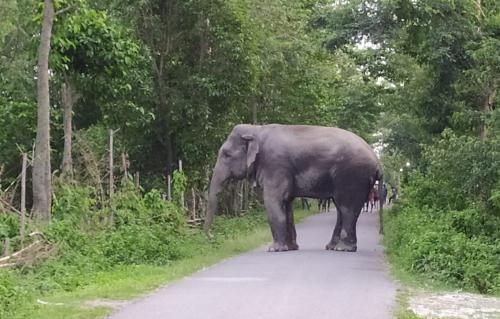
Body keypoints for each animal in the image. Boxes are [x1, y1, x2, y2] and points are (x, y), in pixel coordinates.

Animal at [203, 124, 382, 252]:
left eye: (226, 154)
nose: (211, 236)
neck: (257, 129)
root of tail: (377, 161)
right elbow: (286, 204)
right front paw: (290, 248)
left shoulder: (275, 165)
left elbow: (273, 201)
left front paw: (274, 249)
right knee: (341, 210)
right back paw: (332, 247)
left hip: (352, 177)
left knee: (347, 209)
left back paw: (343, 249)